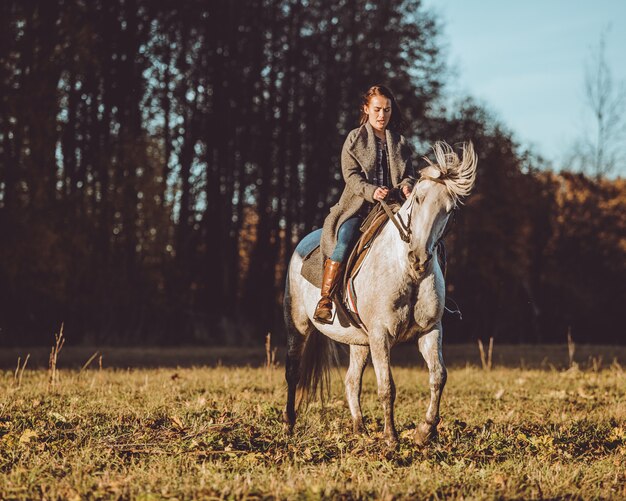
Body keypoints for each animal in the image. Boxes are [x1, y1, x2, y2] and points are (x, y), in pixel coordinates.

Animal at [280, 141, 476, 446]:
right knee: (293, 371)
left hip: (358, 341)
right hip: (297, 324)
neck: (406, 272)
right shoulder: (380, 334)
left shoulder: (430, 330)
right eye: (418, 199)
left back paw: (360, 428)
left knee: (351, 381)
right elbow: (387, 386)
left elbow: (438, 377)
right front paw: (391, 438)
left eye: (450, 209)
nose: (418, 258)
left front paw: (424, 431)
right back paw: (289, 424)